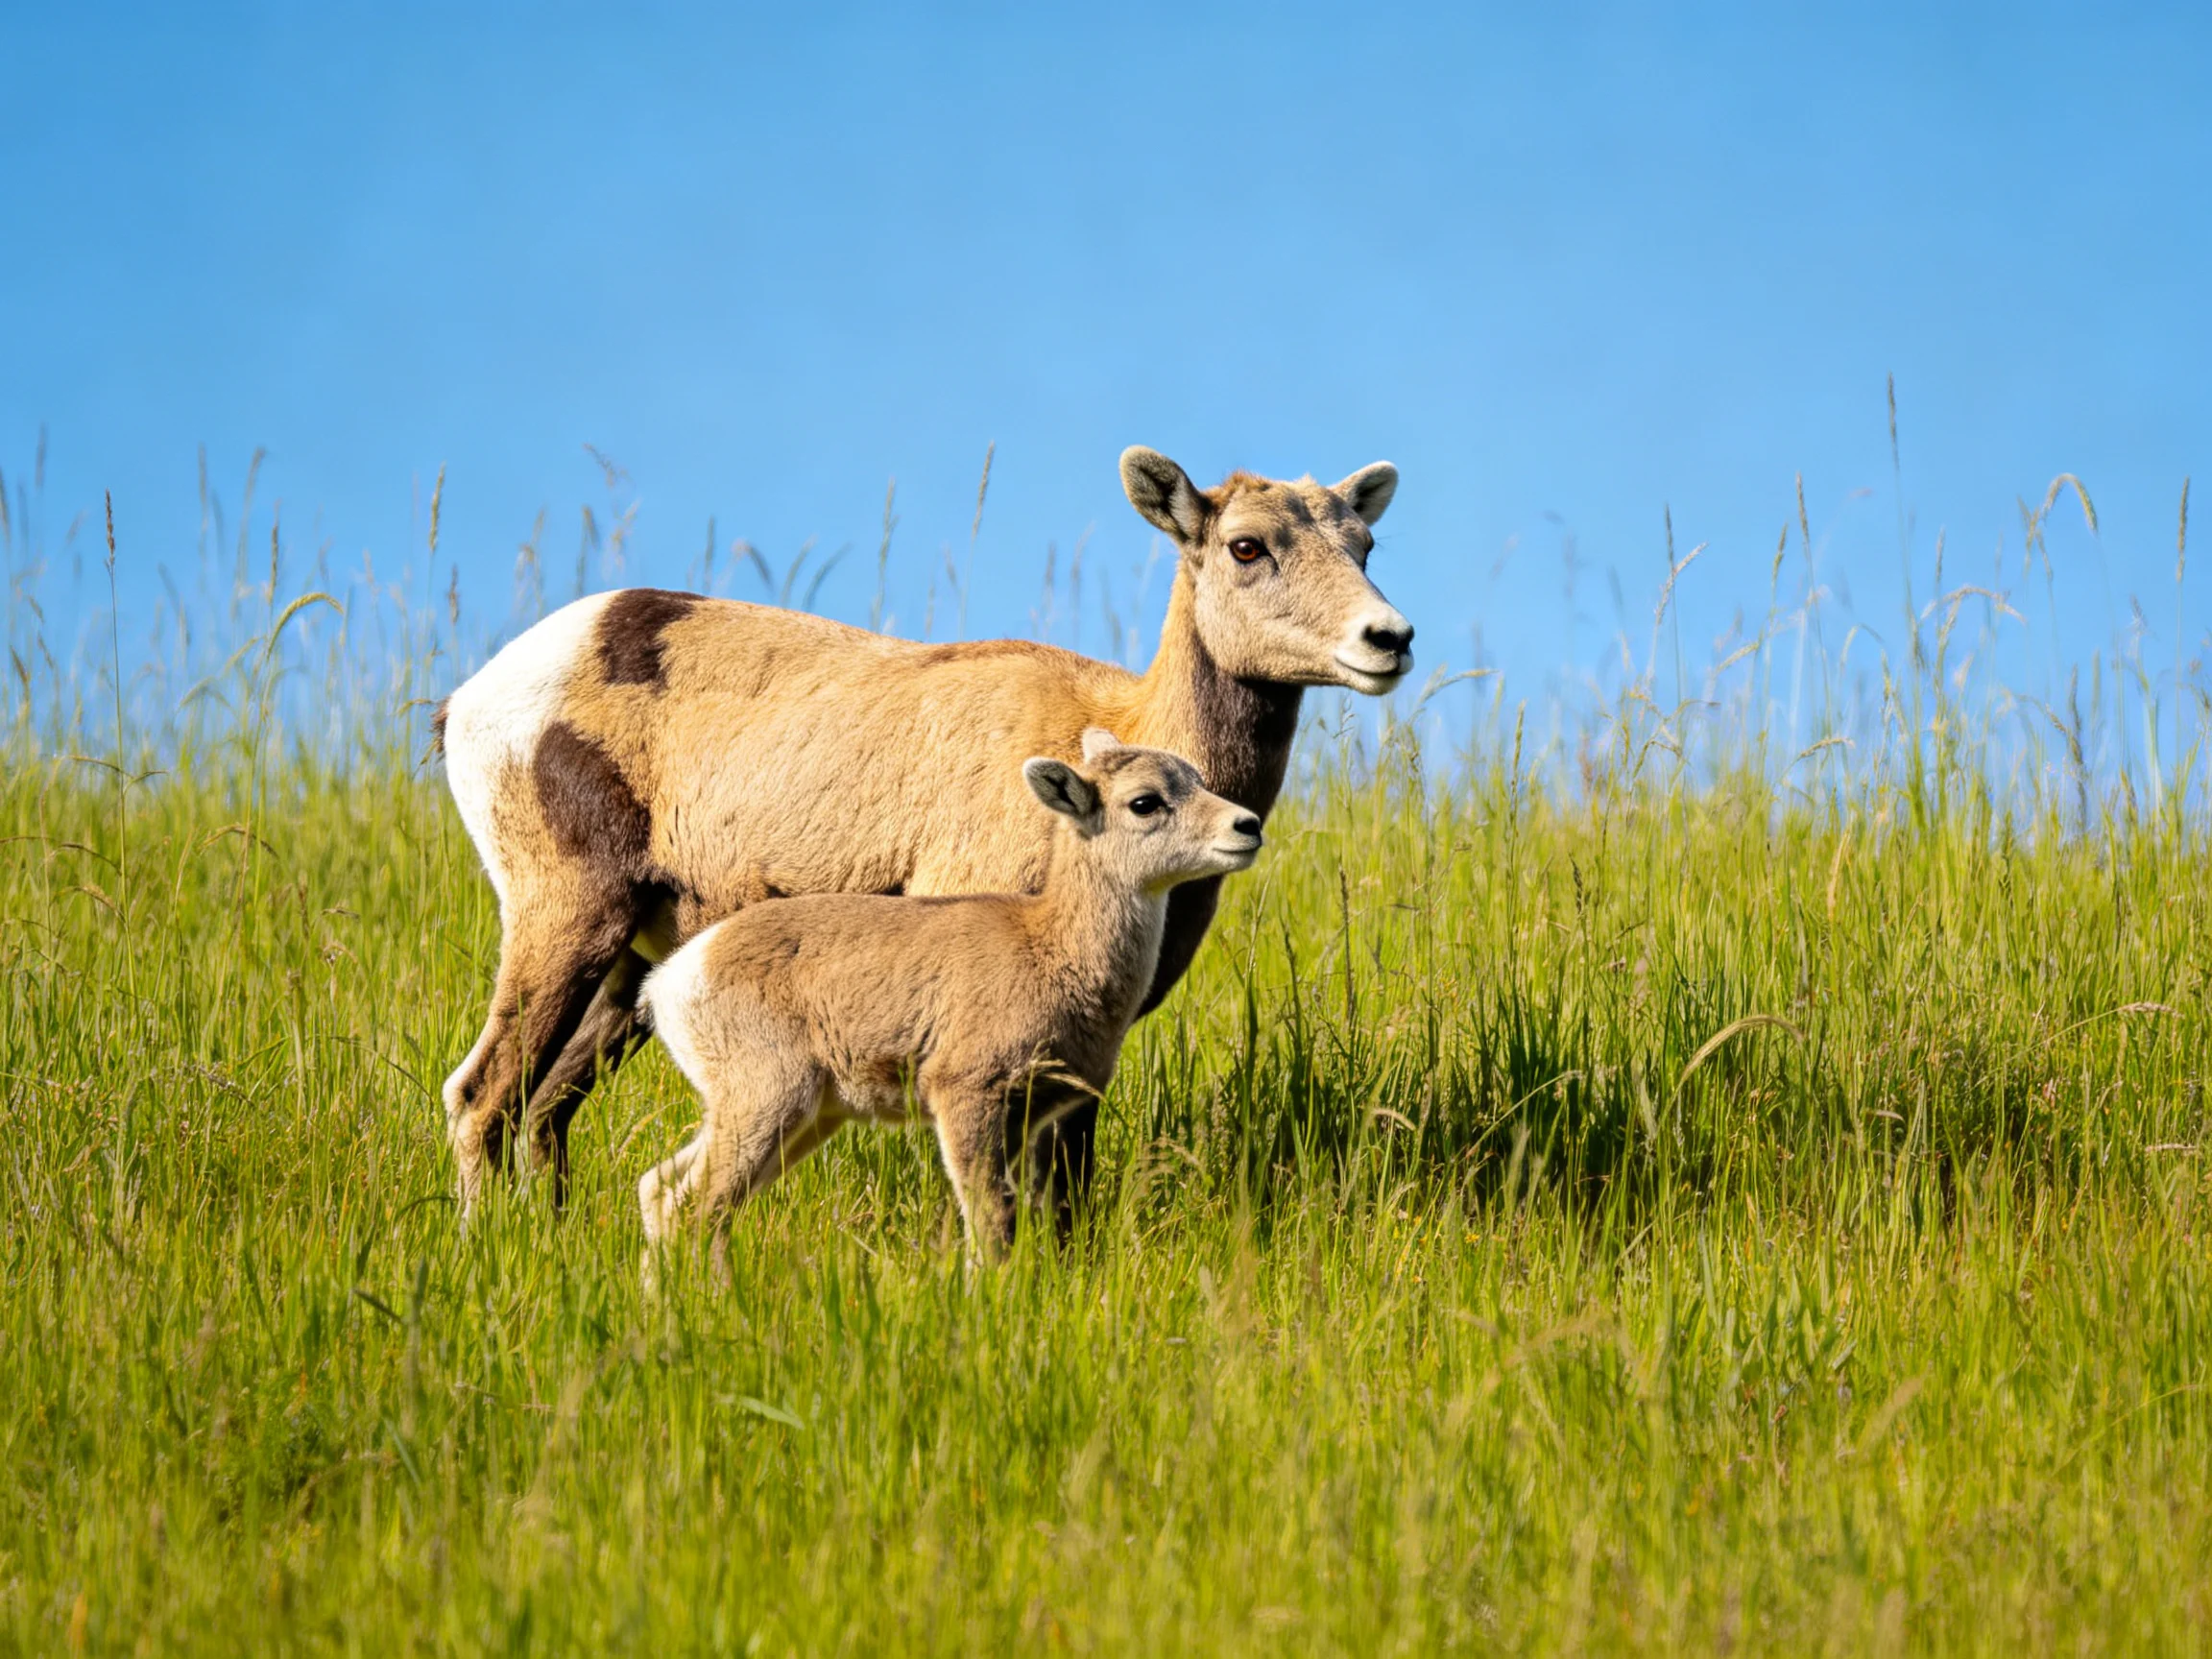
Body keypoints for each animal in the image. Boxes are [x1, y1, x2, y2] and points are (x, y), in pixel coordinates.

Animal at [636, 730, 1262, 1259]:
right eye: (1145, 802)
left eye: (1196, 776)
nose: (1248, 826)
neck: (1050, 949)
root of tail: (670, 980)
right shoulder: (965, 1094)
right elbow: (991, 1219)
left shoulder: (1023, 1118)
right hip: (767, 1102)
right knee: (692, 1210)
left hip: (798, 1116)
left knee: (663, 1191)